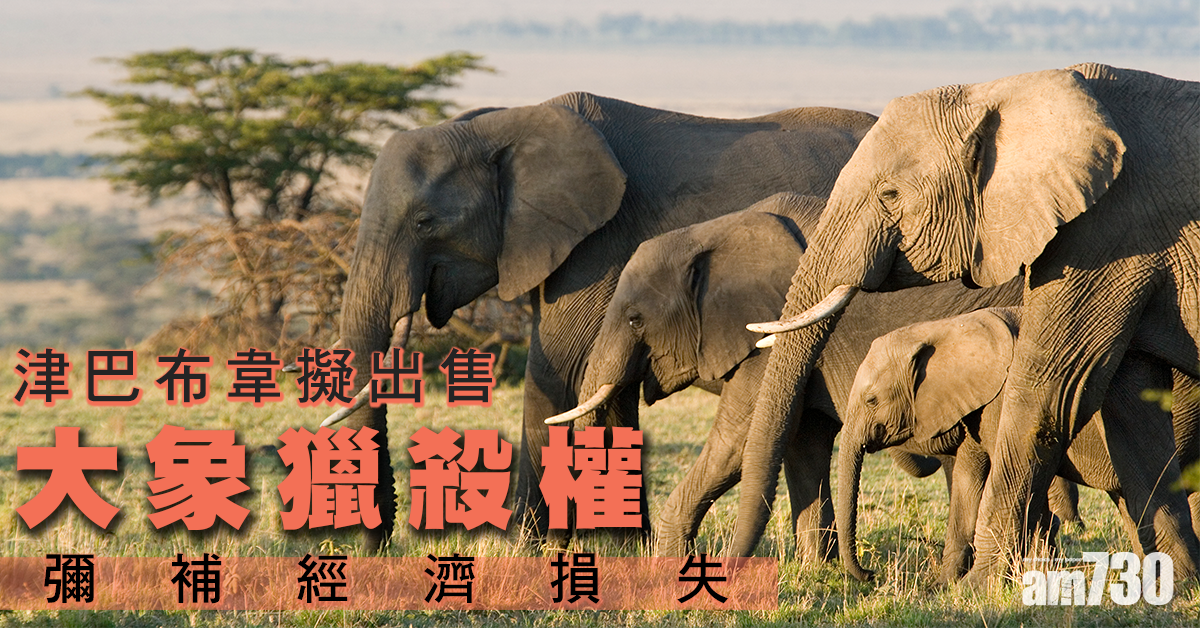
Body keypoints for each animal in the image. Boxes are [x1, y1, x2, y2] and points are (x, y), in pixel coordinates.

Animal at [328, 91, 879, 546]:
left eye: (425, 223)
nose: (378, 546)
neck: (502, 125)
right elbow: (602, 384)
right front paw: (622, 550)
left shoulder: (598, 245)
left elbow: (560, 369)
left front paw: (526, 551)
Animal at [548, 192, 1025, 558]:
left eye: (634, 320)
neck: (714, 232)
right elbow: (803, 443)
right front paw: (818, 570)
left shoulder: (769, 339)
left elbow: (737, 444)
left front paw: (671, 564)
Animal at [837, 307, 1200, 583]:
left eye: (871, 400)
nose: (870, 574)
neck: (947, 327)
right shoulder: (978, 404)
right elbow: (969, 481)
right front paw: (942, 585)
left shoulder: (1004, 397)